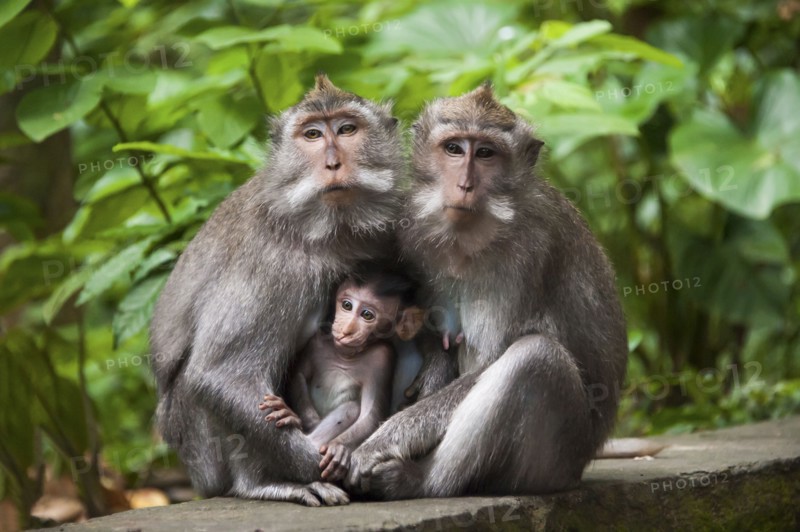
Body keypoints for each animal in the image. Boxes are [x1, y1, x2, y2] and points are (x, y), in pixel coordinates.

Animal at [149, 74, 404, 506]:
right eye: (312, 134)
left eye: (347, 129)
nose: (333, 163)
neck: (332, 229)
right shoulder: (271, 266)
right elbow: (218, 375)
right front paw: (315, 467)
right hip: (201, 454)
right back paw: (261, 484)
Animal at [258, 270, 421, 483]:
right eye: (347, 305)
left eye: (367, 315)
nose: (347, 329)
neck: (345, 355)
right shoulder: (317, 341)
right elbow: (298, 375)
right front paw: (302, 420)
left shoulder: (383, 357)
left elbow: (371, 413)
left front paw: (339, 449)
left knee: (351, 408)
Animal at [345, 82, 628, 499]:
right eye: (454, 148)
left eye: (485, 153)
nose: (465, 185)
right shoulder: (410, 233)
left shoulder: (531, 251)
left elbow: (492, 360)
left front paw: (381, 441)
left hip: (553, 463)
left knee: (534, 358)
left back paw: (422, 481)